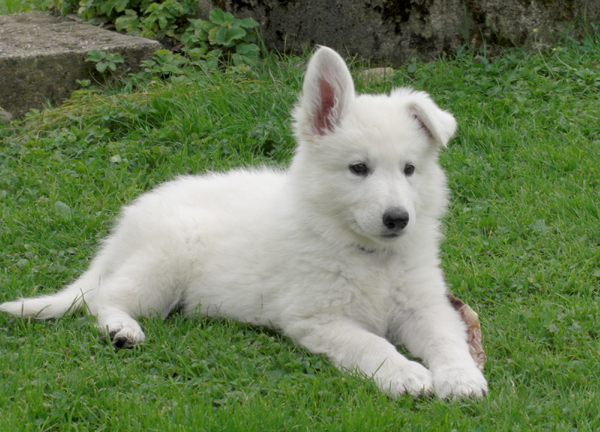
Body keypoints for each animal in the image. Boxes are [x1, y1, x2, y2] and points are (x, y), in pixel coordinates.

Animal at [0, 47, 488, 399]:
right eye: (358, 169)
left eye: (409, 170)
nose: (397, 218)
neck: (370, 254)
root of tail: (129, 221)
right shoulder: (318, 318)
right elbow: (373, 344)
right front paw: (405, 374)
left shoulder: (426, 306)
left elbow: (447, 340)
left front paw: (460, 378)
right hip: (163, 262)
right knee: (104, 298)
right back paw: (122, 329)